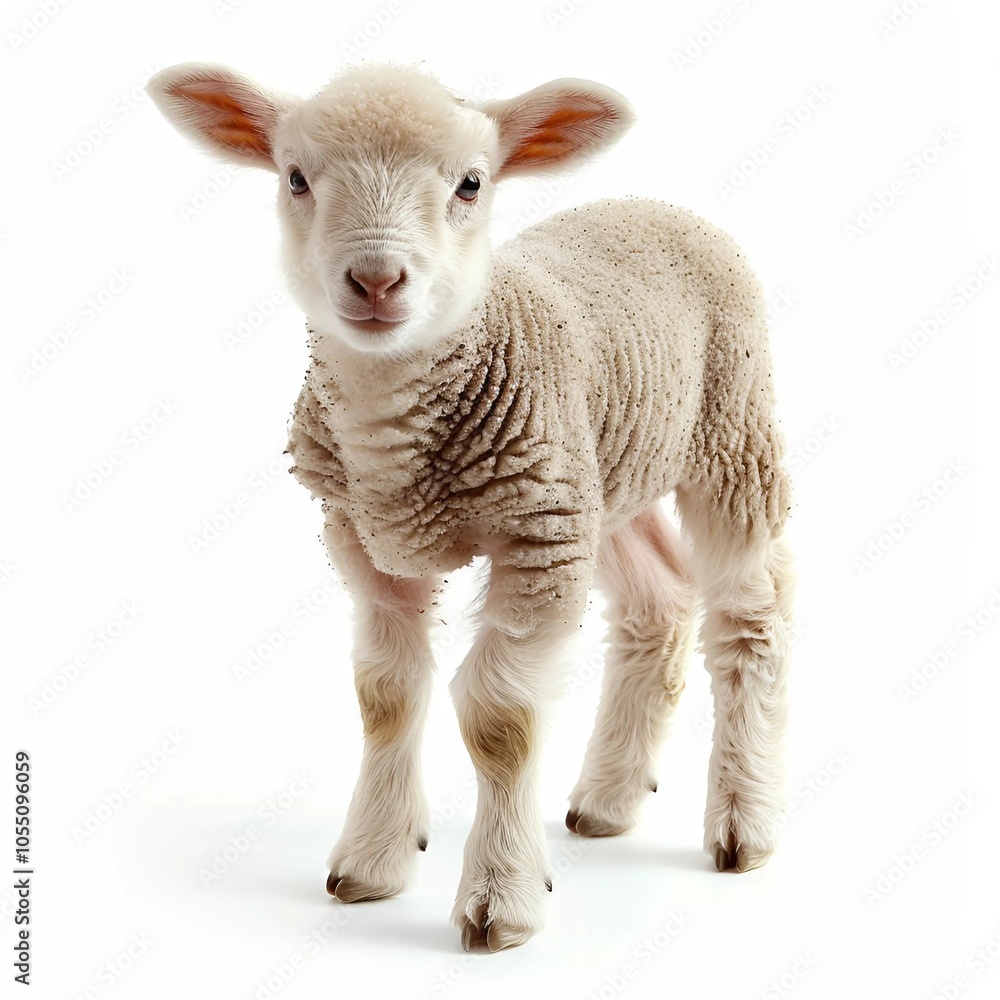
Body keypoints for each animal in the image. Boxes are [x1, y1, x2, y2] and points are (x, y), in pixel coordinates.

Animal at [147, 61, 794, 952]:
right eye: (296, 178)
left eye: (470, 183)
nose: (376, 280)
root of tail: (656, 205)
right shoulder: (364, 539)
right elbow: (385, 696)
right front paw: (372, 861)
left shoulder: (536, 542)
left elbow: (499, 720)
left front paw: (501, 897)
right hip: (603, 473)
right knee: (660, 600)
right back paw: (608, 800)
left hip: (729, 435)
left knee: (751, 618)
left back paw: (743, 820)